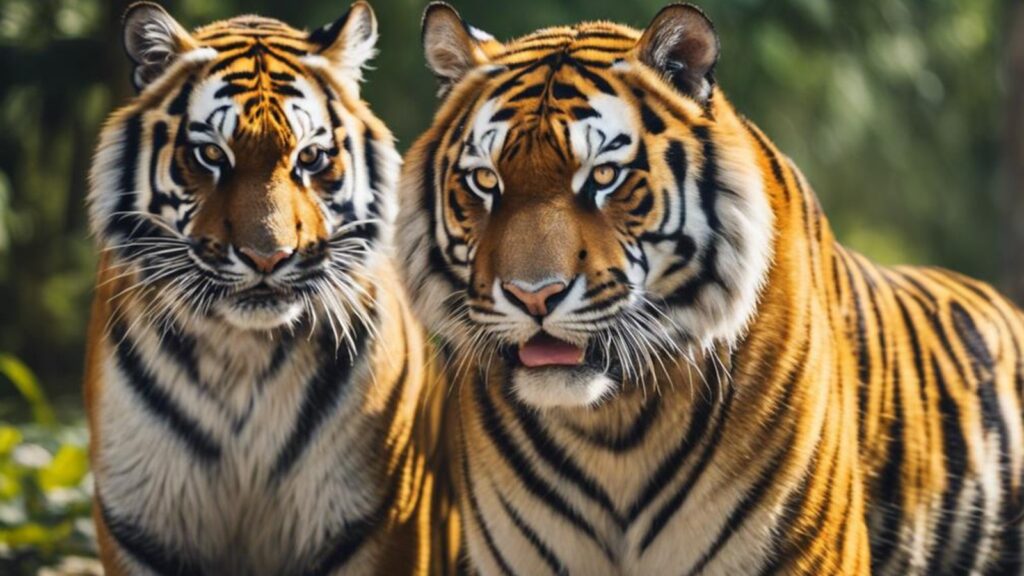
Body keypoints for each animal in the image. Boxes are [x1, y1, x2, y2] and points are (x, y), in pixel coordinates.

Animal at [83, 2, 456, 574]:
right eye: (212, 155)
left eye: (311, 157)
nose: (268, 257)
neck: (243, 351)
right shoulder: (142, 525)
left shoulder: (376, 521)